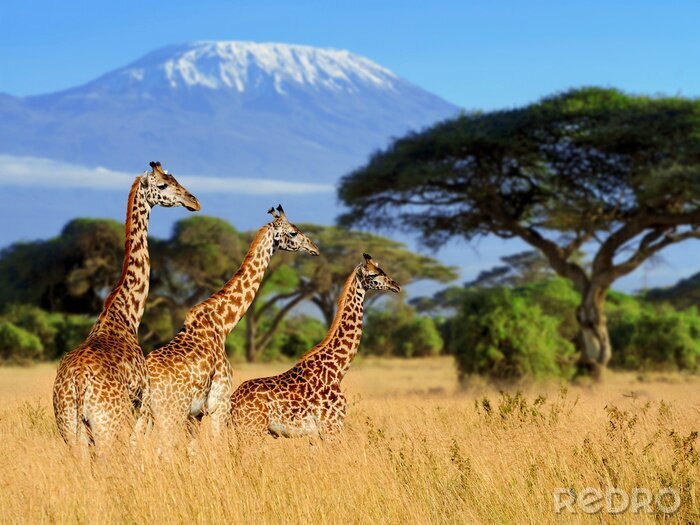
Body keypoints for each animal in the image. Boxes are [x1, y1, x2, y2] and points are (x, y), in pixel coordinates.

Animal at [52, 161, 200, 453]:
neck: (126, 315)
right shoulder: (142, 403)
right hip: (108, 424)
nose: (194, 201)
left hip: (70, 428)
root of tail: (77, 382)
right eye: (163, 184)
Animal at [142, 205, 319, 446]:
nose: (314, 248)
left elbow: (193, 448)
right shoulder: (220, 403)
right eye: (293, 232)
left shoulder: (196, 414)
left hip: (144, 415)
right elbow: (218, 446)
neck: (223, 324)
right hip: (170, 413)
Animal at [230, 253, 400, 438]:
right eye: (373, 275)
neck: (337, 370)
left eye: (382, 270)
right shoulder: (332, 427)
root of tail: (232, 401)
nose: (396, 286)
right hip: (252, 429)